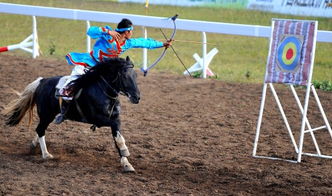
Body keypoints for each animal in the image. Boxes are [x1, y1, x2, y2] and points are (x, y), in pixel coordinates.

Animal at [2, 56, 140, 172]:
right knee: (40, 129)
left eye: (135, 75)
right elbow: (117, 130)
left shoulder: (114, 118)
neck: (101, 90)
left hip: (49, 115)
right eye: (125, 76)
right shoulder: (98, 119)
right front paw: (125, 151)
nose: (137, 97)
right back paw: (46, 154)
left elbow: (117, 136)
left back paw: (34, 145)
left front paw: (126, 164)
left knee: (40, 129)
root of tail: (42, 81)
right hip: (46, 115)